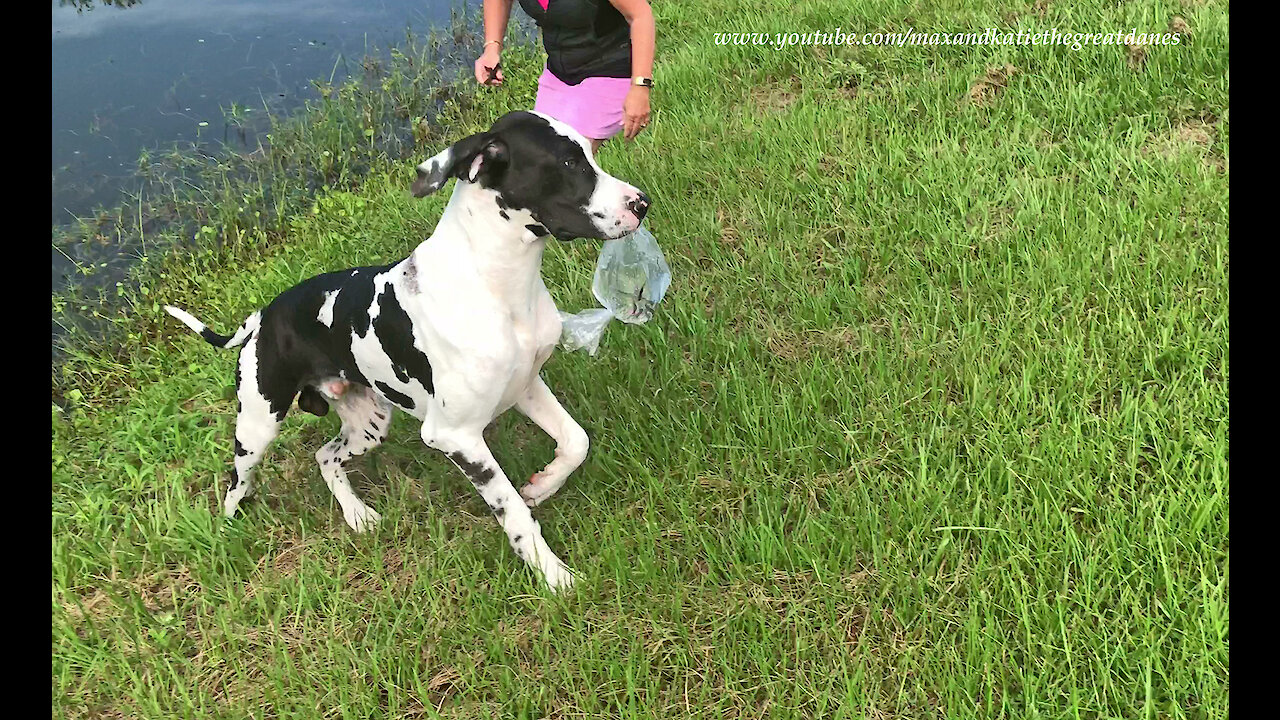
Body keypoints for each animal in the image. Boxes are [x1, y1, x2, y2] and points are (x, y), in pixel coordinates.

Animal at [163, 109, 650, 586]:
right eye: (568, 163)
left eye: (590, 153)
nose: (641, 203)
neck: (497, 285)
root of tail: (263, 316)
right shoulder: (456, 437)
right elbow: (514, 513)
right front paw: (555, 577)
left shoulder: (526, 386)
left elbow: (576, 442)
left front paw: (543, 484)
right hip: (258, 427)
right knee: (235, 485)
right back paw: (229, 538)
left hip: (369, 425)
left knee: (324, 456)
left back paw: (357, 514)